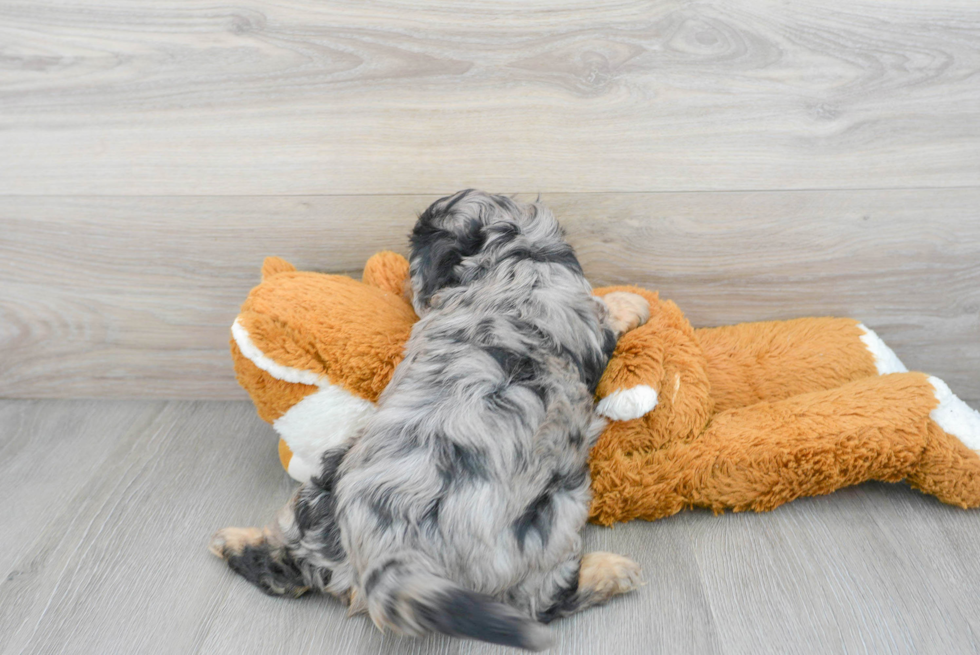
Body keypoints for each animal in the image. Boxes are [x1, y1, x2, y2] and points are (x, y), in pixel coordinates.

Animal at [209, 190, 652, 652]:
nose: (410, 288)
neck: (510, 260)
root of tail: (392, 549)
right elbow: (606, 311)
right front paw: (632, 302)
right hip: (552, 517)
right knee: (543, 600)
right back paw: (612, 572)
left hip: (325, 490)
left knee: (284, 566)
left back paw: (231, 541)